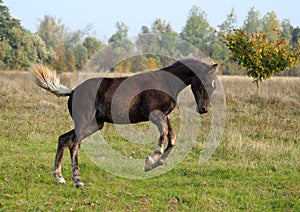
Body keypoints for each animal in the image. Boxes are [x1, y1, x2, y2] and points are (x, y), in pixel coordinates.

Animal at [30, 58, 217, 187]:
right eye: (207, 83)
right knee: (74, 143)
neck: (165, 82)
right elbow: (164, 133)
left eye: (214, 86)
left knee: (64, 139)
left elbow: (172, 138)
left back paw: (59, 176)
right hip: (84, 122)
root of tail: (73, 91)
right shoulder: (153, 115)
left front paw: (153, 165)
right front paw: (152, 158)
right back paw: (77, 180)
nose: (204, 109)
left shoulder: (164, 115)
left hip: (95, 125)